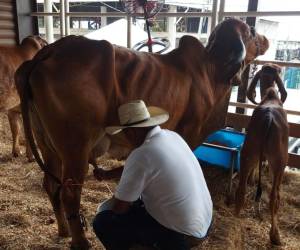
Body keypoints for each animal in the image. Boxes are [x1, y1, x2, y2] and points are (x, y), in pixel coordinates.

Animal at [15, 18, 270, 249]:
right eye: (252, 31)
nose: (266, 39)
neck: (211, 72)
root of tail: (48, 52)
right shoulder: (188, 134)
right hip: (74, 148)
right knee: (69, 192)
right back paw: (81, 242)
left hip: (48, 145)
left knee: (51, 184)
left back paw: (64, 230)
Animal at [236, 87, 290, 244]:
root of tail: (268, 117)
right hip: (280, 162)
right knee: (274, 197)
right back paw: (275, 236)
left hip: (247, 153)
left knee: (241, 190)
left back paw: (234, 219)